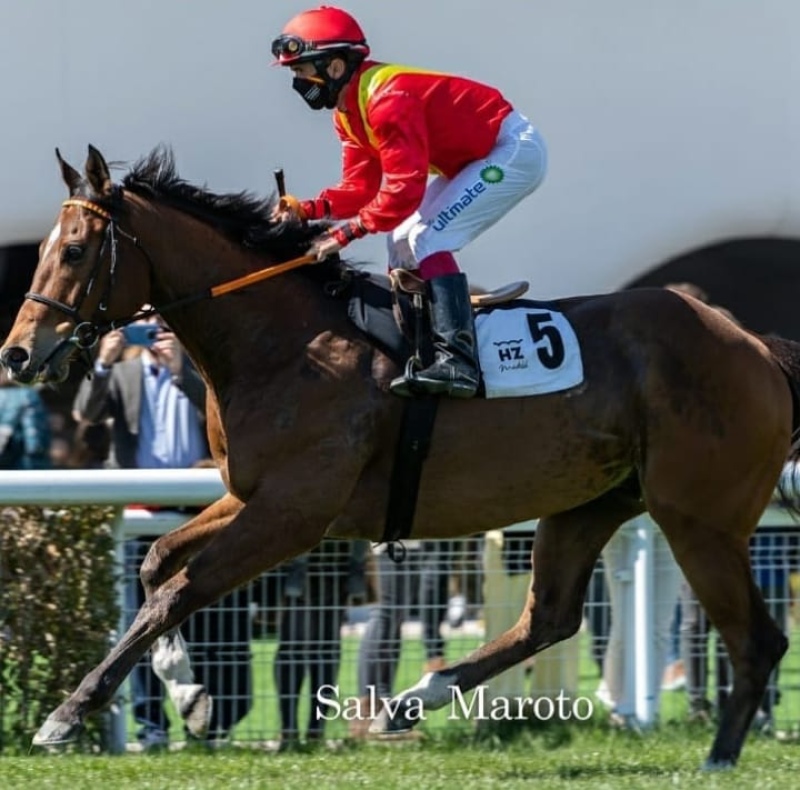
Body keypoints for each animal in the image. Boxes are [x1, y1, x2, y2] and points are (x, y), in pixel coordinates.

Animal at [3, 145, 796, 772]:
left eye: (74, 251)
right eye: (38, 251)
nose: (17, 354)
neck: (283, 342)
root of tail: (755, 345)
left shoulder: (295, 512)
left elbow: (177, 590)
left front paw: (67, 715)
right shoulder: (251, 495)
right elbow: (155, 562)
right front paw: (191, 691)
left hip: (699, 517)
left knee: (757, 639)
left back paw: (720, 756)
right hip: (593, 501)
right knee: (549, 617)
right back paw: (413, 699)